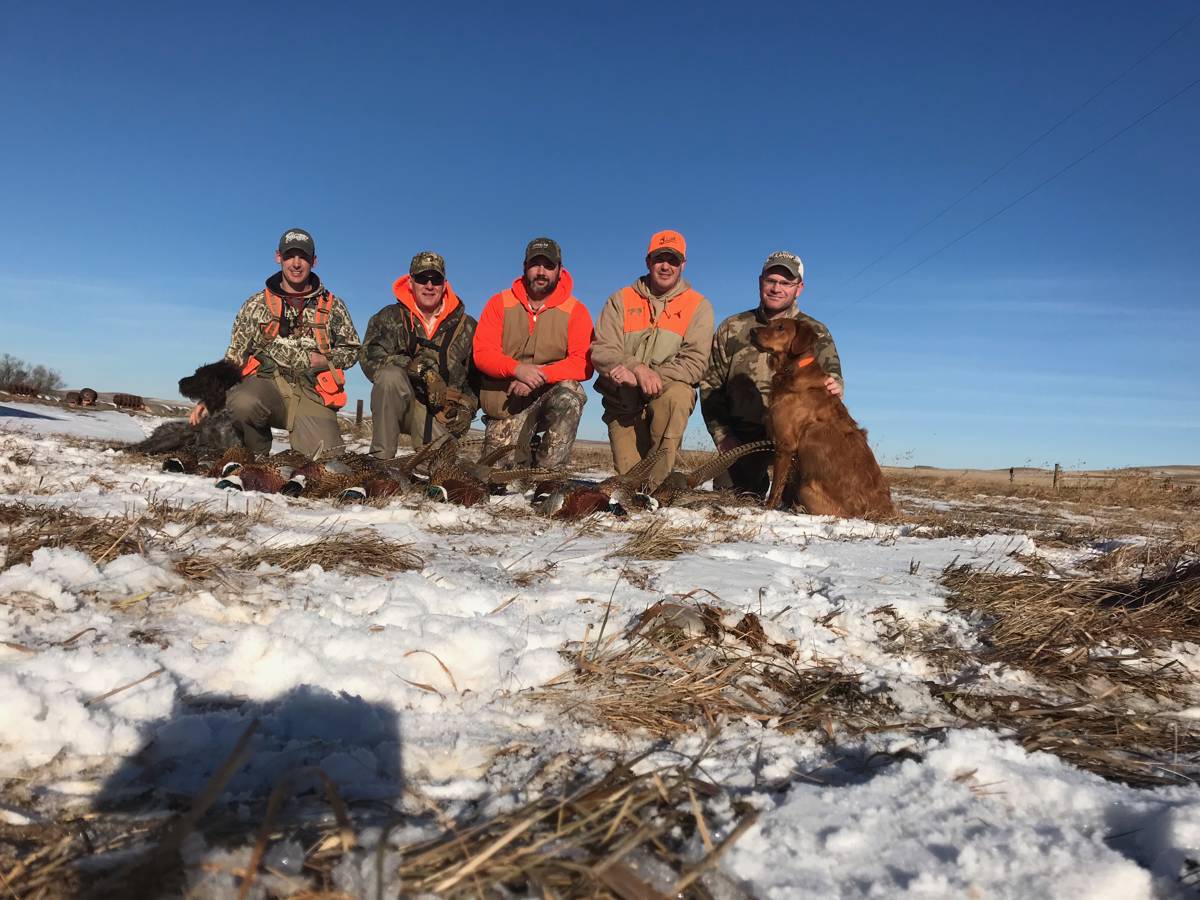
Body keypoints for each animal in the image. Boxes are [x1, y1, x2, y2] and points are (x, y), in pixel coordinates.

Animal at [744, 319, 897, 520]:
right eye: (769, 323)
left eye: (781, 327)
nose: (752, 331)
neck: (792, 368)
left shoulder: (785, 445)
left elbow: (777, 485)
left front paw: (768, 508)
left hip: (806, 490)